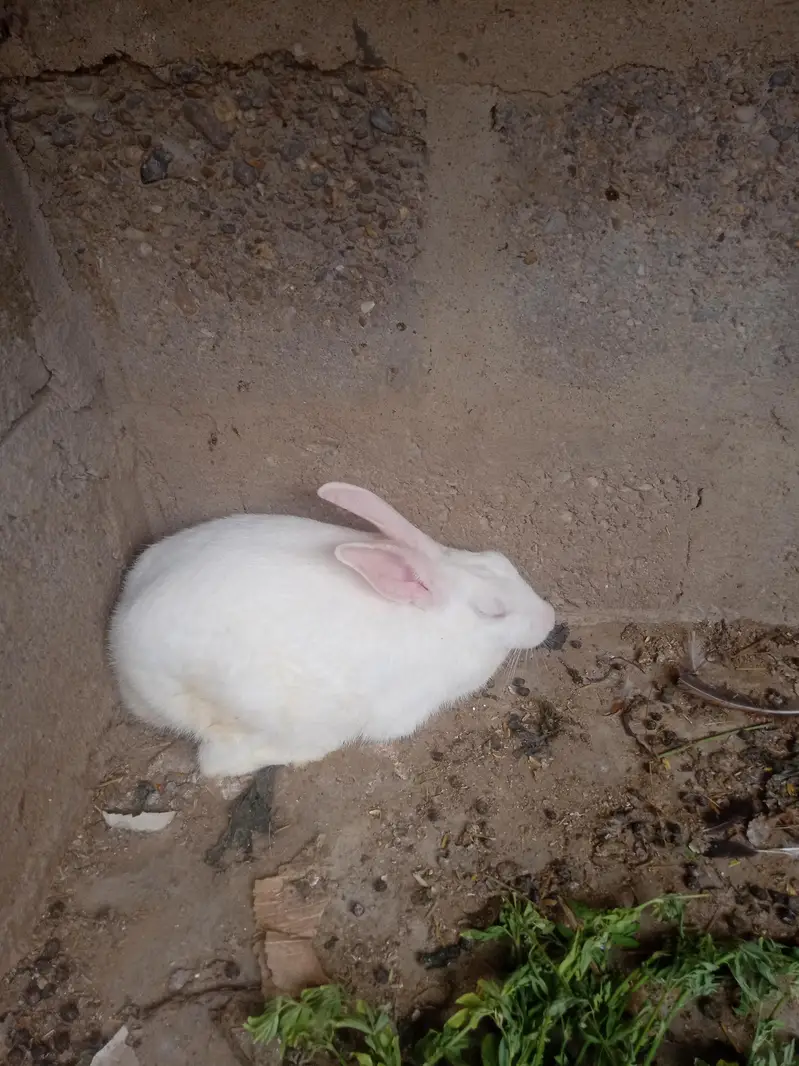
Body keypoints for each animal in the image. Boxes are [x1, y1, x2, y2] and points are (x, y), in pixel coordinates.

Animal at [108, 482, 556, 779]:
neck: (436, 623)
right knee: (217, 763)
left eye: (502, 561)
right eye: (493, 611)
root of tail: (120, 643)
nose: (550, 618)